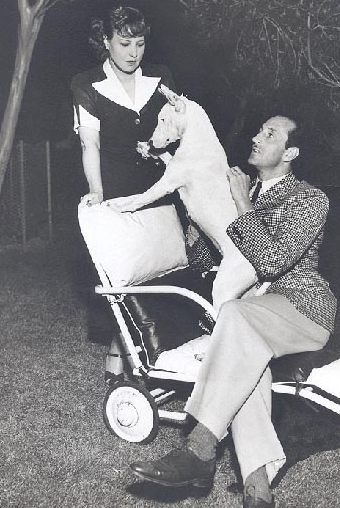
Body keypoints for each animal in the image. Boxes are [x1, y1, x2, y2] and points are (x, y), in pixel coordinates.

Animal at [109, 84, 268, 306]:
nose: (151, 141)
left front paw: (120, 207)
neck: (199, 140)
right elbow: (164, 157)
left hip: (224, 287)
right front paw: (146, 149)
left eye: (163, 119)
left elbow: (141, 199)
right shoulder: (171, 167)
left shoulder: (167, 184)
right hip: (244, 291)